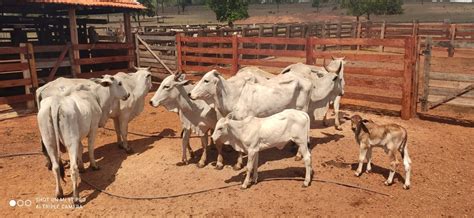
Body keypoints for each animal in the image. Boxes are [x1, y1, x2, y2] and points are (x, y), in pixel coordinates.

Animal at [37, 76, 129, 205]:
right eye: (119, 83)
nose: (128, 94)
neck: (95, 96)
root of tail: (55, 104)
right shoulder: (93, 128)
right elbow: (90, 148)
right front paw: (94, 165)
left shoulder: (78, 138)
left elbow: (80, 149)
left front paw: (82, 167)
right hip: (70, 142)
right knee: (72, 169)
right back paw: (76, 198)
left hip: (49, 141)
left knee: (55, 167)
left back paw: (59, 193)